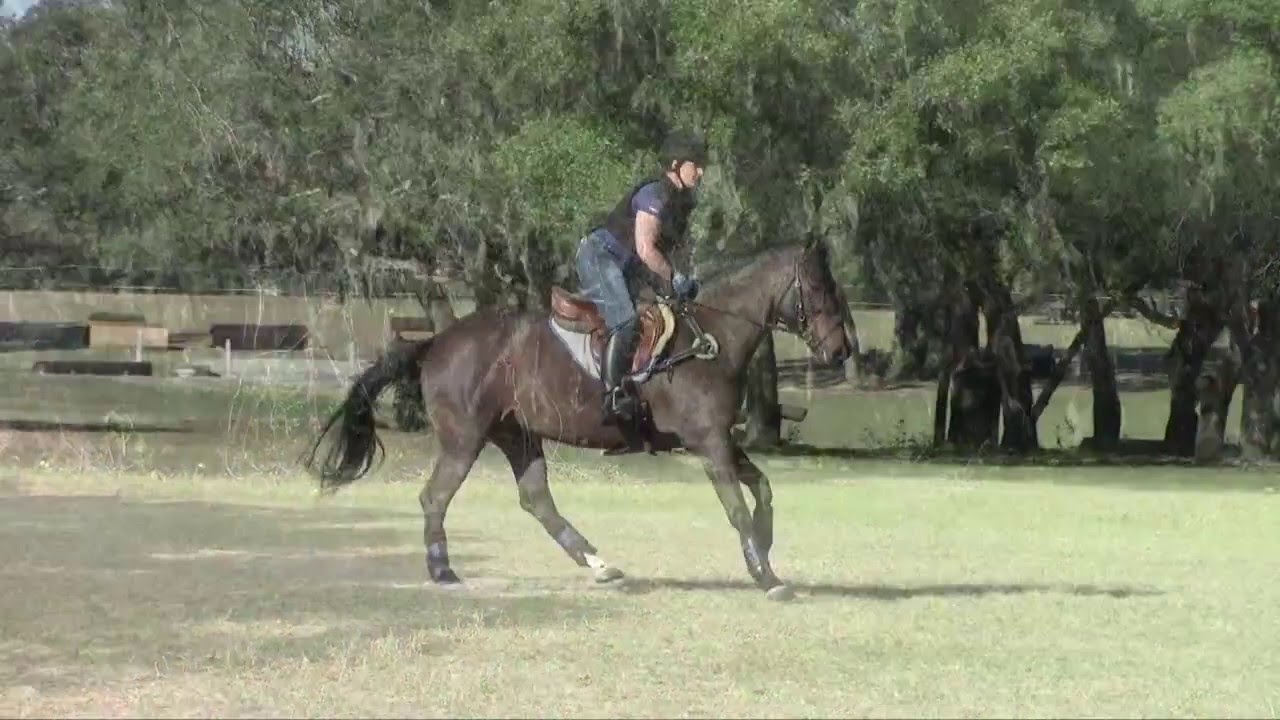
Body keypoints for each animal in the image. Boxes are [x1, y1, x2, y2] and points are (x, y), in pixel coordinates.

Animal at [303, 238, 856, 601]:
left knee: (536, 500)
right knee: (435, 497)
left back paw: (601, 565)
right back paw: (443, 571)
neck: (710, 338)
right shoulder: (708, 442)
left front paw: (763, 546)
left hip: (518, 435)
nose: (841, 350)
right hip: (465, 438)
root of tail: (436, 342)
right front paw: (766, 575)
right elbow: (736, 506)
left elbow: (762, 488)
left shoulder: (718, 438)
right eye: (819, 289)